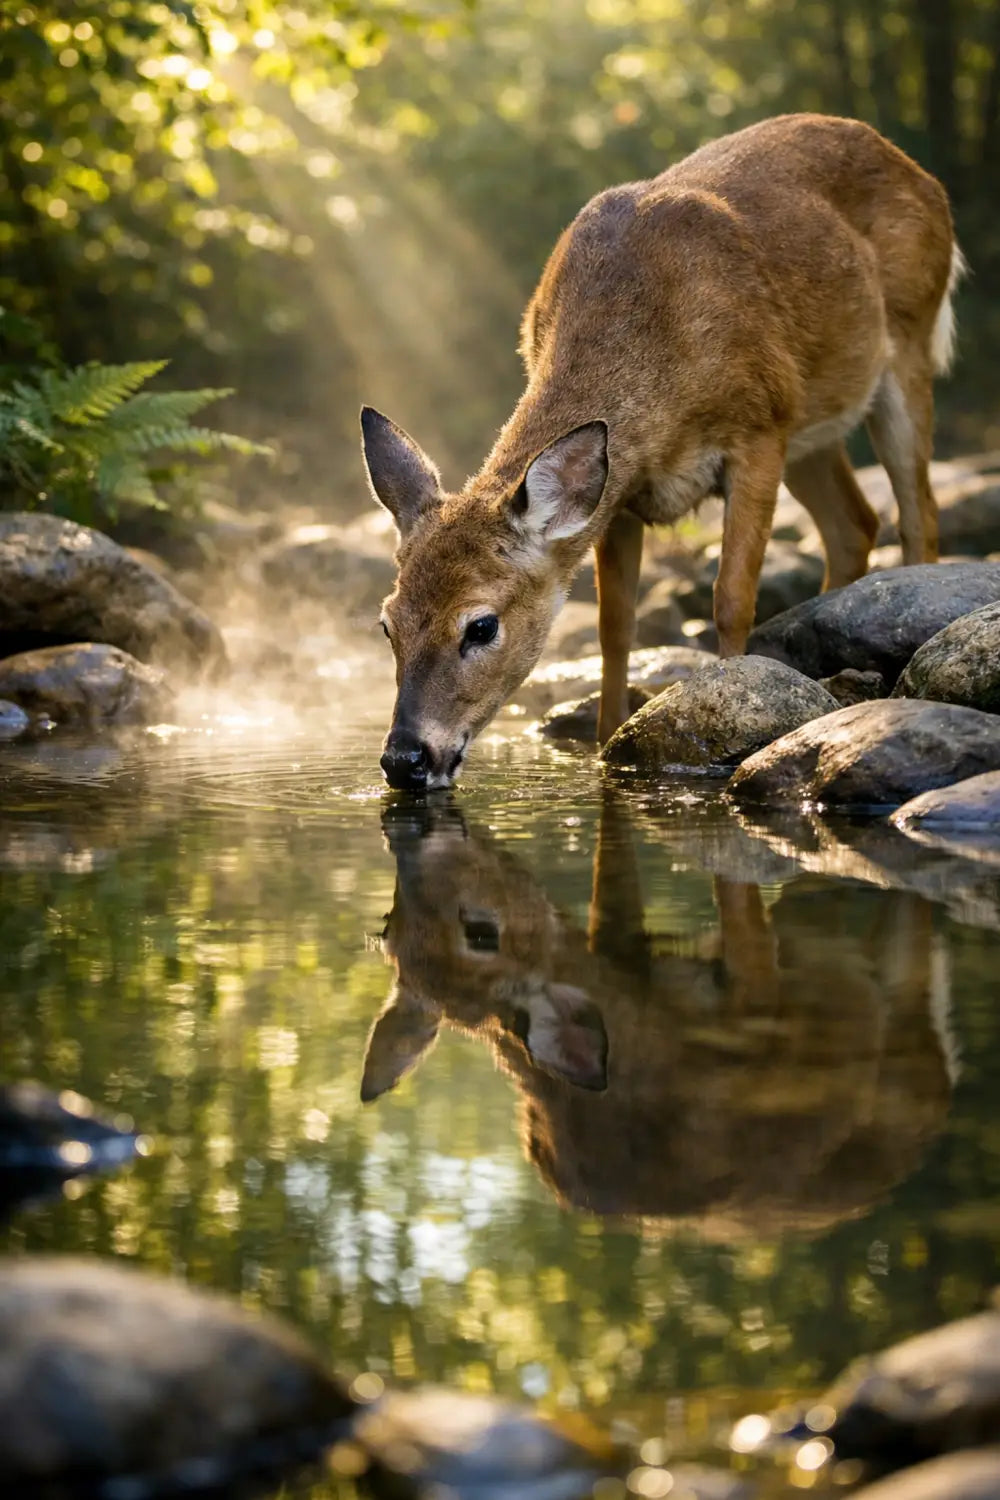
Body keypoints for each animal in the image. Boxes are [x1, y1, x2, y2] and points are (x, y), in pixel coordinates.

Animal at [362, 113, 962, 791]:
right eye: (387, 621)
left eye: (481, 625)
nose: (405, 758)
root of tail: (919, 172)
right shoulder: (619, 489)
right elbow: (614, 626)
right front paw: (603, 747)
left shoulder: (760, 426)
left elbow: (731, 598)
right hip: (816, 420)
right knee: (853, 523)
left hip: (906, 343)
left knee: (917, 512)